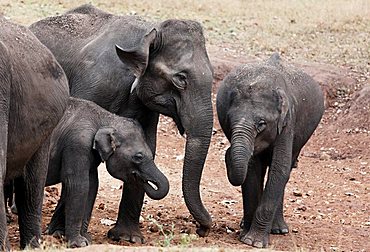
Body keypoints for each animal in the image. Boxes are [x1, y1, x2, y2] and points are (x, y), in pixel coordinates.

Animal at [45, 97, 171, 247]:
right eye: (138, 157)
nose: (148, 182)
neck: (106, 118)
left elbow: (92, 185)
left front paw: (87, 239)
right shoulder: (77, 144)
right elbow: (78, 185)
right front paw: (78, 243)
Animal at [217, 53, 324, 248]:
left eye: (261, 124)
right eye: (229, 120)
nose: (227, 152)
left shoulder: (288, 121)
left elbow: (279, 169)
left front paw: (254, 242)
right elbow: (252, 169)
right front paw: (246, 238)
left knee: (285, 171)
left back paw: (279, 230)